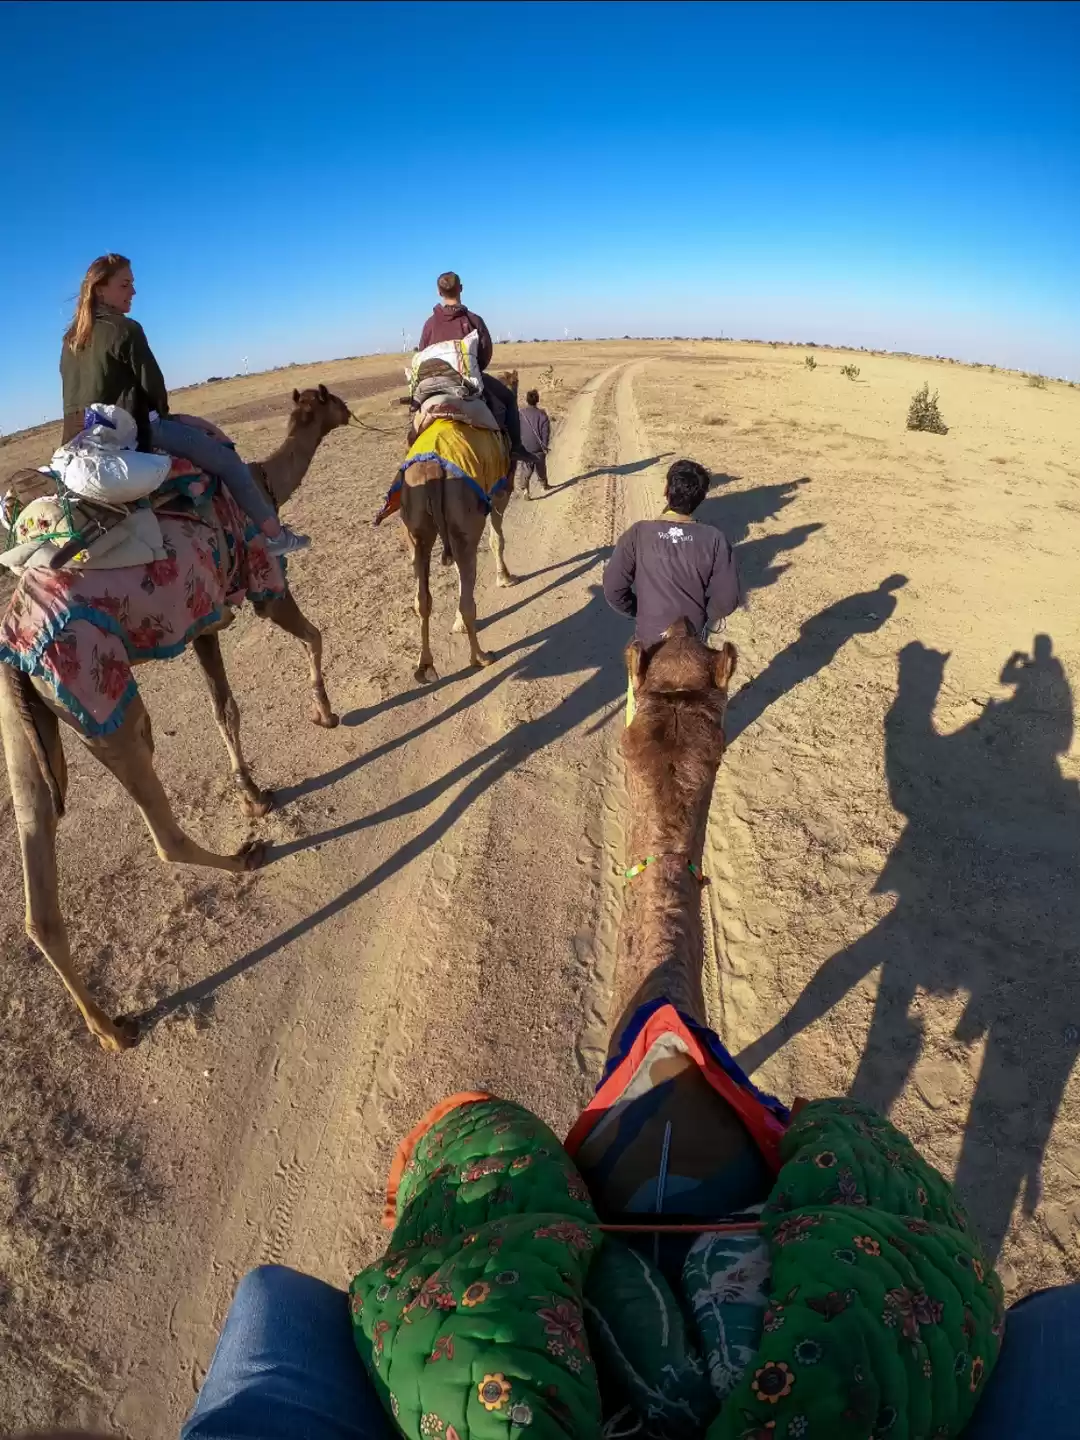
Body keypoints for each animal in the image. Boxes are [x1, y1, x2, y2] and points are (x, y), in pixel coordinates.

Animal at [0, 385, 353, 1051]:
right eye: (335, 401)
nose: (354, 411)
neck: (263, 481)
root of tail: (13, 642)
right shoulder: (262, 583)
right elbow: (312, 637)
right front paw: (324, 713)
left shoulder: (203, 623)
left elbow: (224, 708)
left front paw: (254, 794)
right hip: (100, 690)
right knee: (159, 824)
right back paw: (245, 857)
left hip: (23, 726)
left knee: (39, 882)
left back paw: (112, 1029)